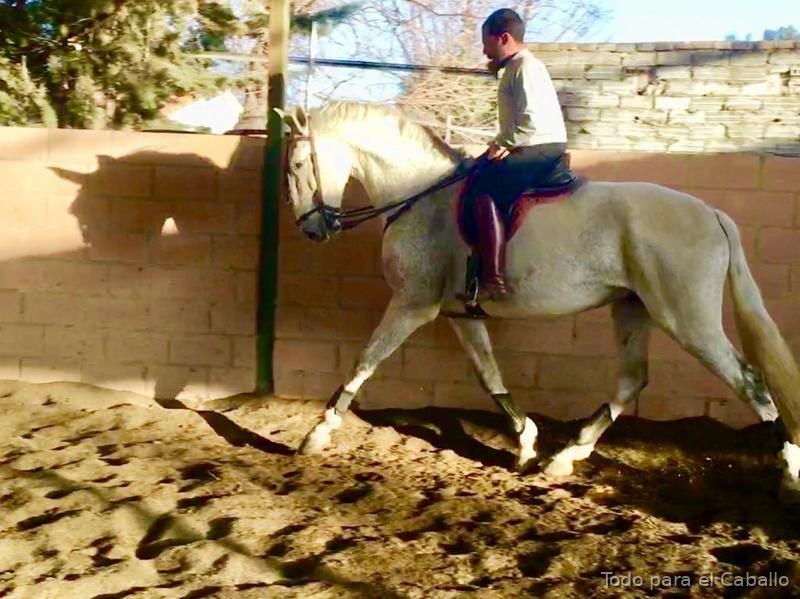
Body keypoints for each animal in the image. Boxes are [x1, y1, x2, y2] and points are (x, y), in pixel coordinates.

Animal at [275, 101, 800, 502]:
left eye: (297, 166)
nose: (312, 229)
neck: (419, 195)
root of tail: (711, 212)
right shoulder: (459, 314)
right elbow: (489, 376)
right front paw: (526, 444)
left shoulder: (411, 304)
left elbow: (364, 361)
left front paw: (317, 434)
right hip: (633, 308)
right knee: (632, 380)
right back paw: (564, 458)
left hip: (686, 319)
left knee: (750, 381)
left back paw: (791, 472)